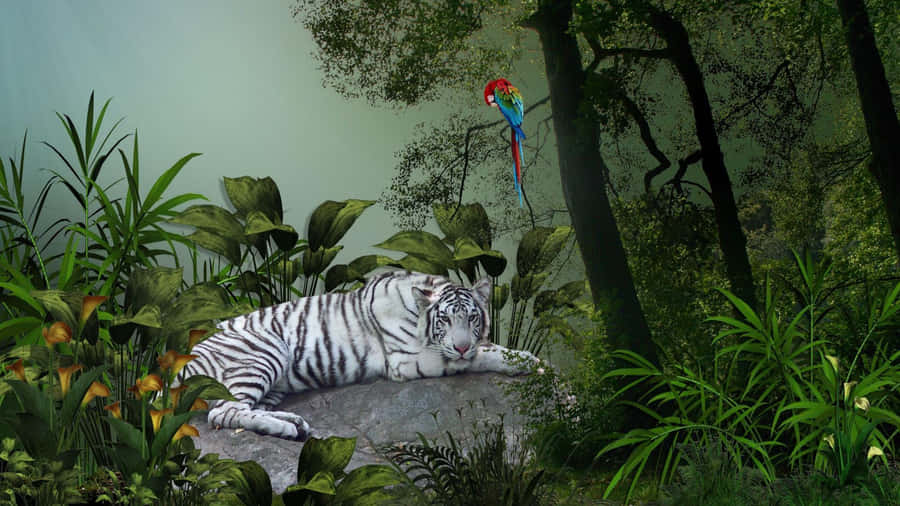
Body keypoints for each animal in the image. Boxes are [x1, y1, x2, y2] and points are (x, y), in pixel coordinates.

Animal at [177, 270, 540, 441]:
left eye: (473, 318)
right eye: (446, 320)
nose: (462, 344)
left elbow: (487, 346)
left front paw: (527, 358)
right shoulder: (408, 360)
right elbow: (480, 355)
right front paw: (526, 362)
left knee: (243, 409)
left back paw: (293, 424)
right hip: (264, 351)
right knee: (222, 413)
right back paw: (287, 429)